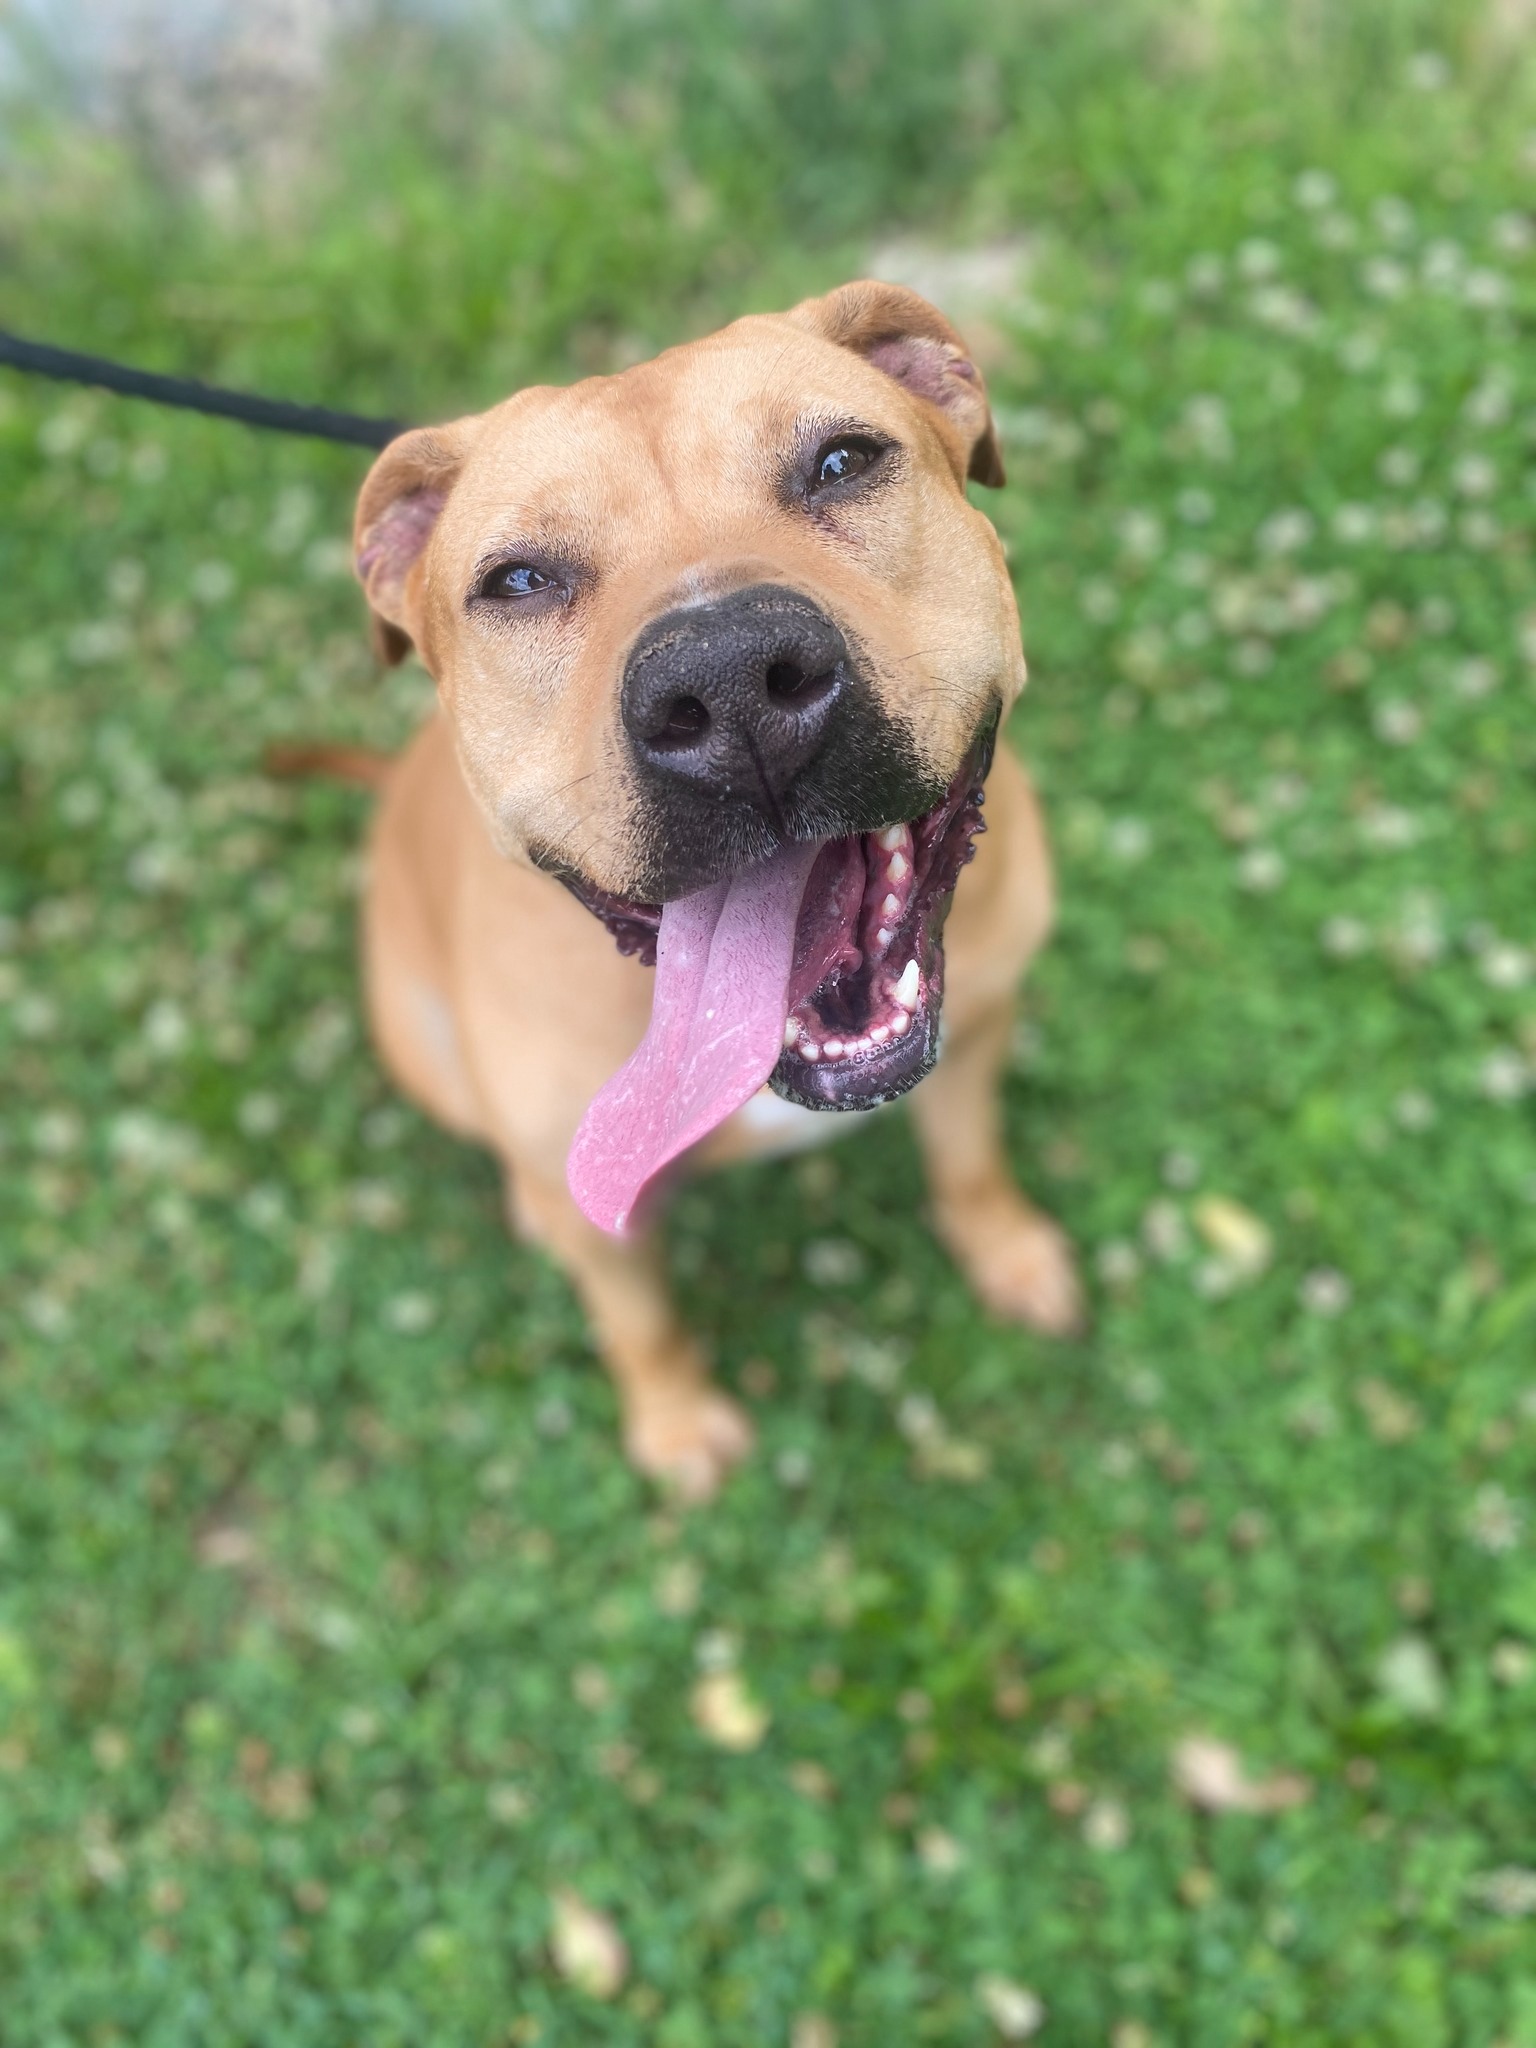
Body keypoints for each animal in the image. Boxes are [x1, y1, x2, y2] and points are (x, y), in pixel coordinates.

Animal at [301, 280, 1089, 1499]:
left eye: (841, 461)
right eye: (517, 580)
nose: (729, 685)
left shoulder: (983, 1028)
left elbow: (970, 1164)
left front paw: (1007, 1251)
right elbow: (642, 1324)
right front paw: (676, 1428)